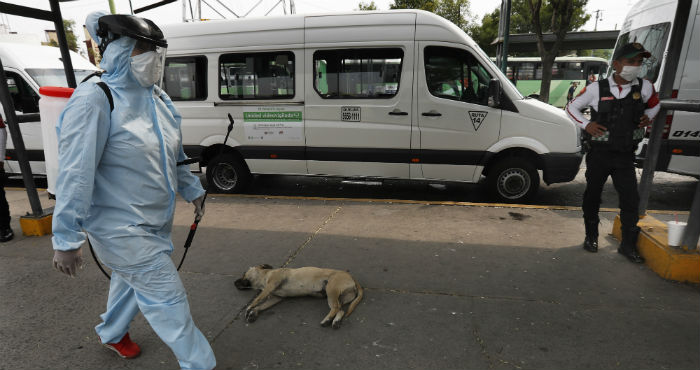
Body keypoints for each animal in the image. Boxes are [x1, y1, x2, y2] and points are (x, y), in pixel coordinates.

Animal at [237, 264, 366, 328]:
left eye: (243, 273)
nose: (234, 282)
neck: (265, 276)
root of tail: (351, 277)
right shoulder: (276, 298)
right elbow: (262, 305)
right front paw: (254, 312)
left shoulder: (271, 285)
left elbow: (257, 299)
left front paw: (249, 308)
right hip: (340, 297)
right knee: (341, 310)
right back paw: (335, 322)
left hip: (331, 290)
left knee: (335, 308)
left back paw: (327, 320)